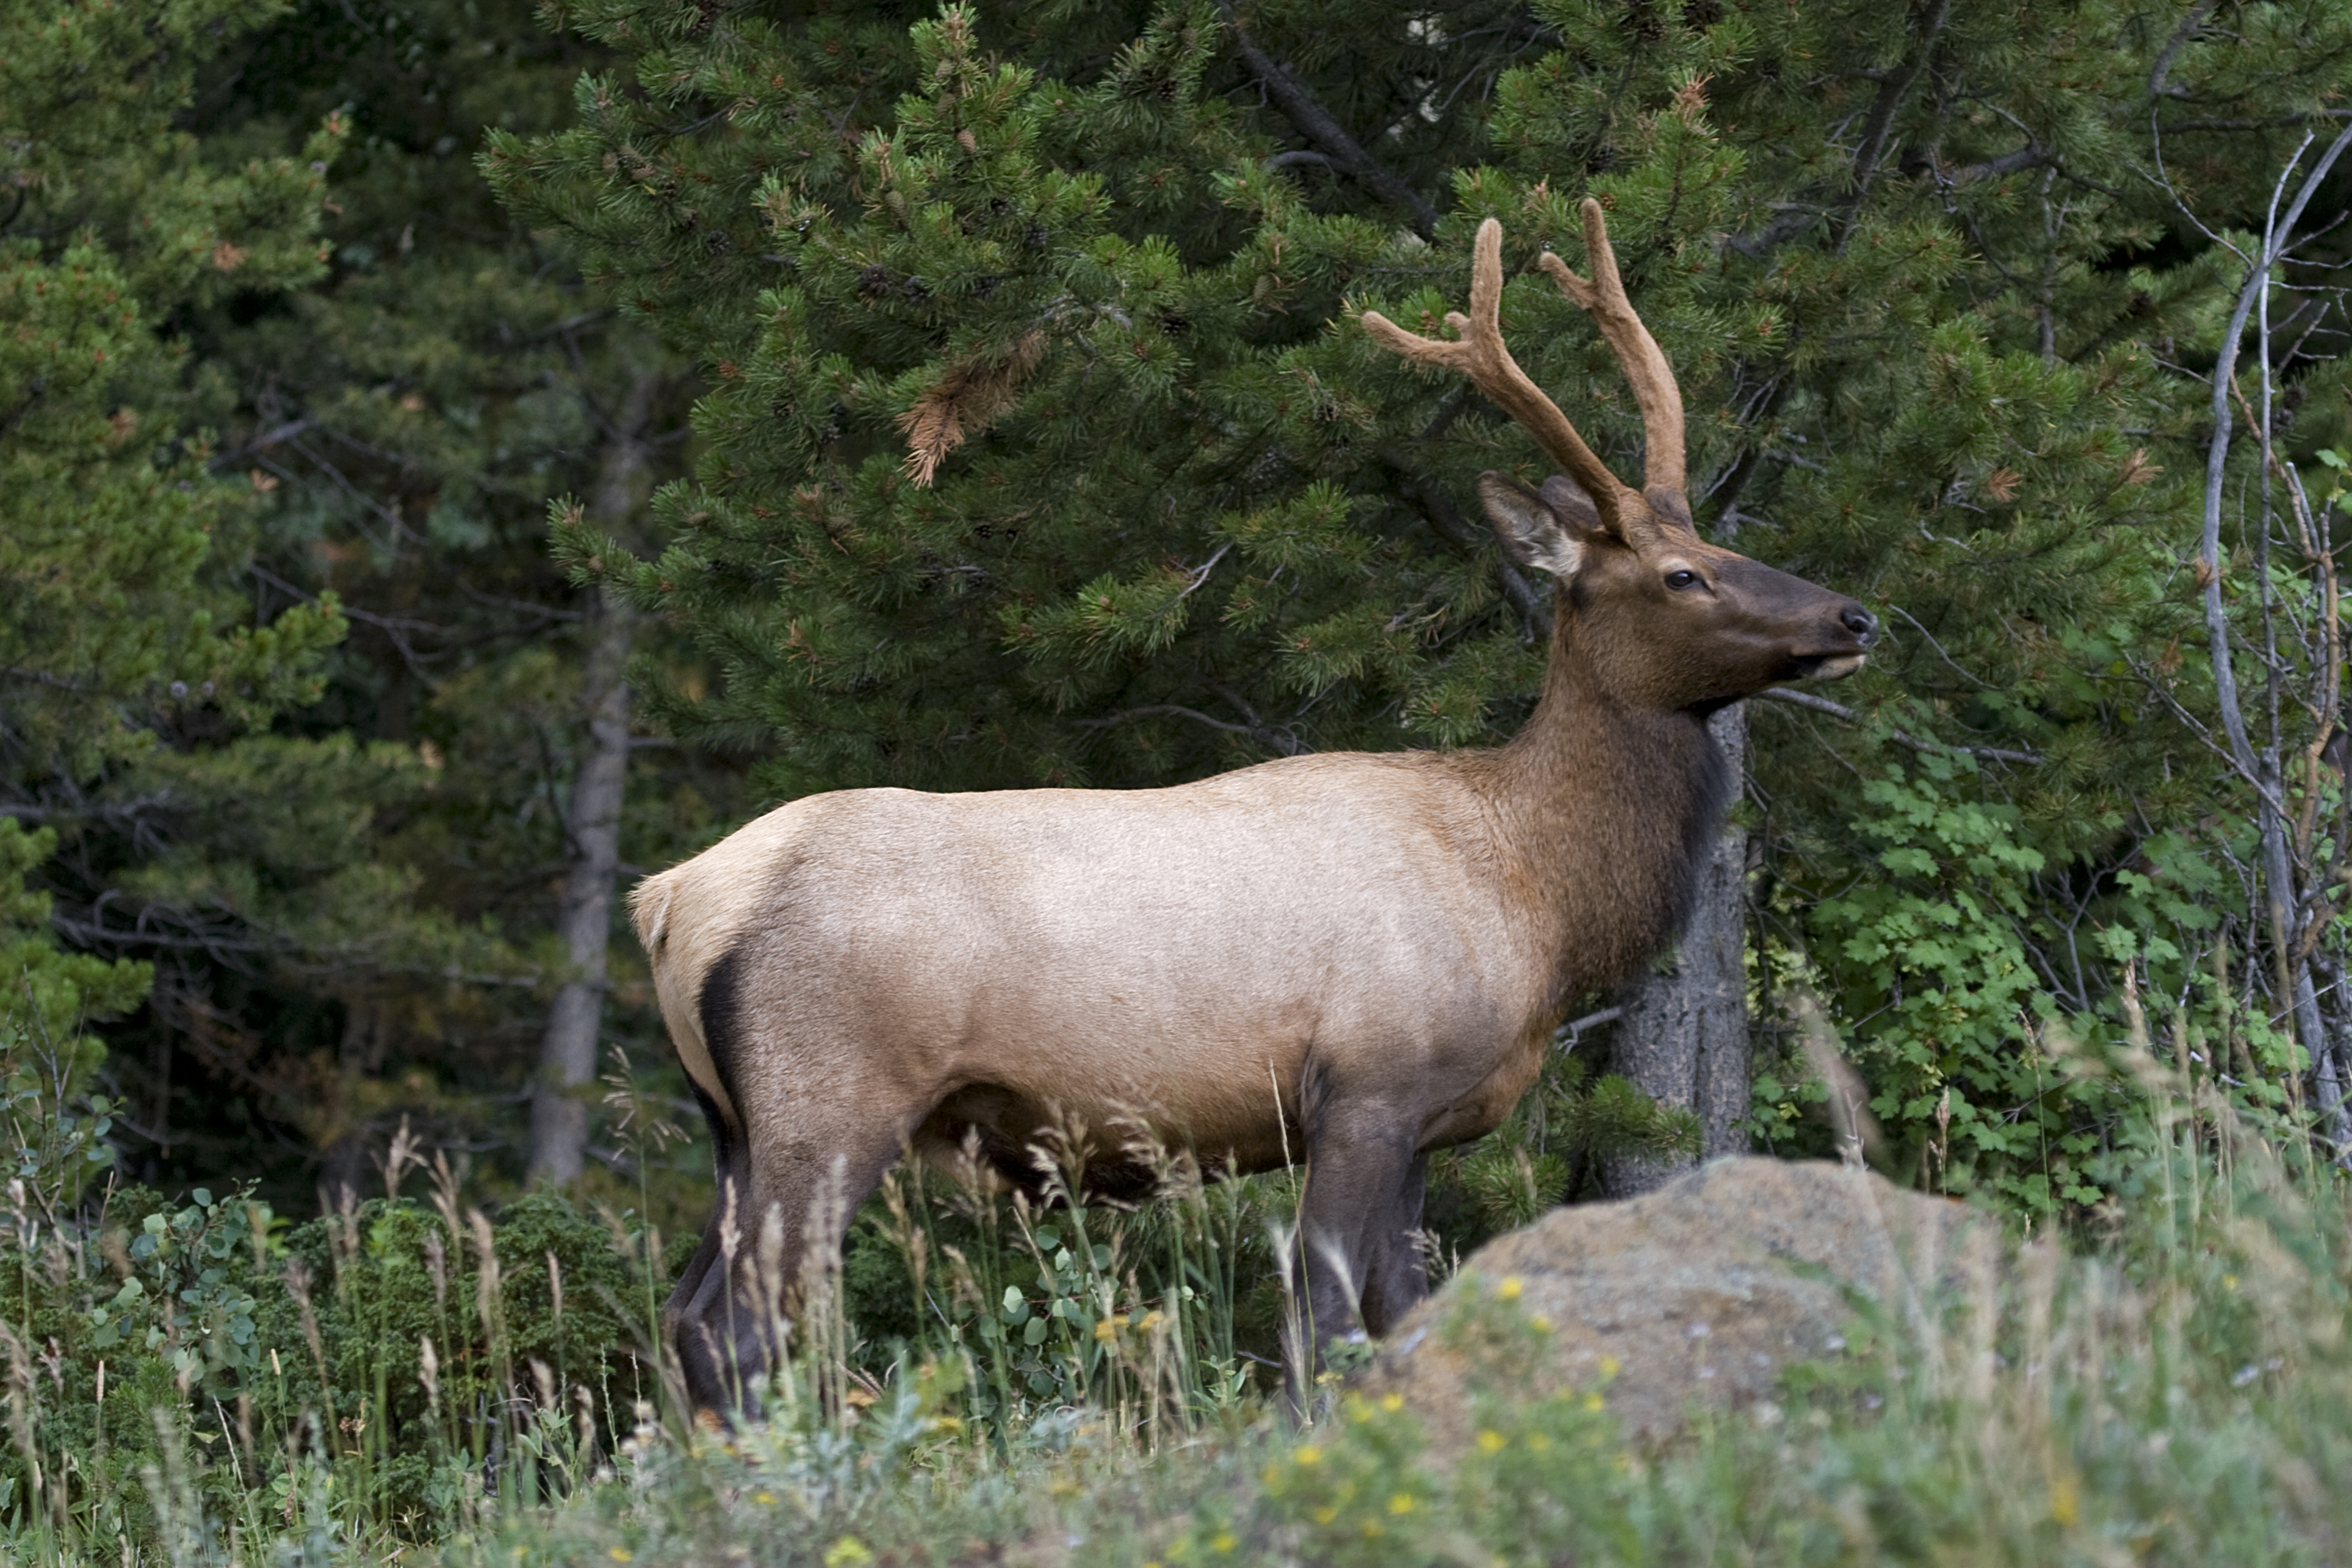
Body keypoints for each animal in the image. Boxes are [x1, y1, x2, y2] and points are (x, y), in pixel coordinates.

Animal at [630, 201, 1877, 1414]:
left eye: (1716, 541)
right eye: (1680, 575)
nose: (1851, 616)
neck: (1535, 894)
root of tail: (669, 899)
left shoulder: (1424, 1122)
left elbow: (1401, 1315)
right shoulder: (1365, 1081)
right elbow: (1322, 1329)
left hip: (734, 1127)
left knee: (686, 1317)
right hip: (827, 1101)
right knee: (742, 1328)